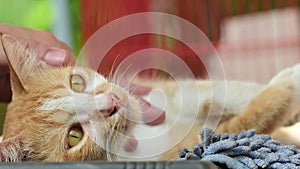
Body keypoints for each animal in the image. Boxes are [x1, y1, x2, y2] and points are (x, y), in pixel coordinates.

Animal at [0, 34, 300, 161]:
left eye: (77, 82)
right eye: (74, 136)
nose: (112, 103)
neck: (139, 131)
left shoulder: (161, 94)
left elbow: (220, 91)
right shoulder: (190, 148)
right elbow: (243, 124)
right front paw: (286, 85)